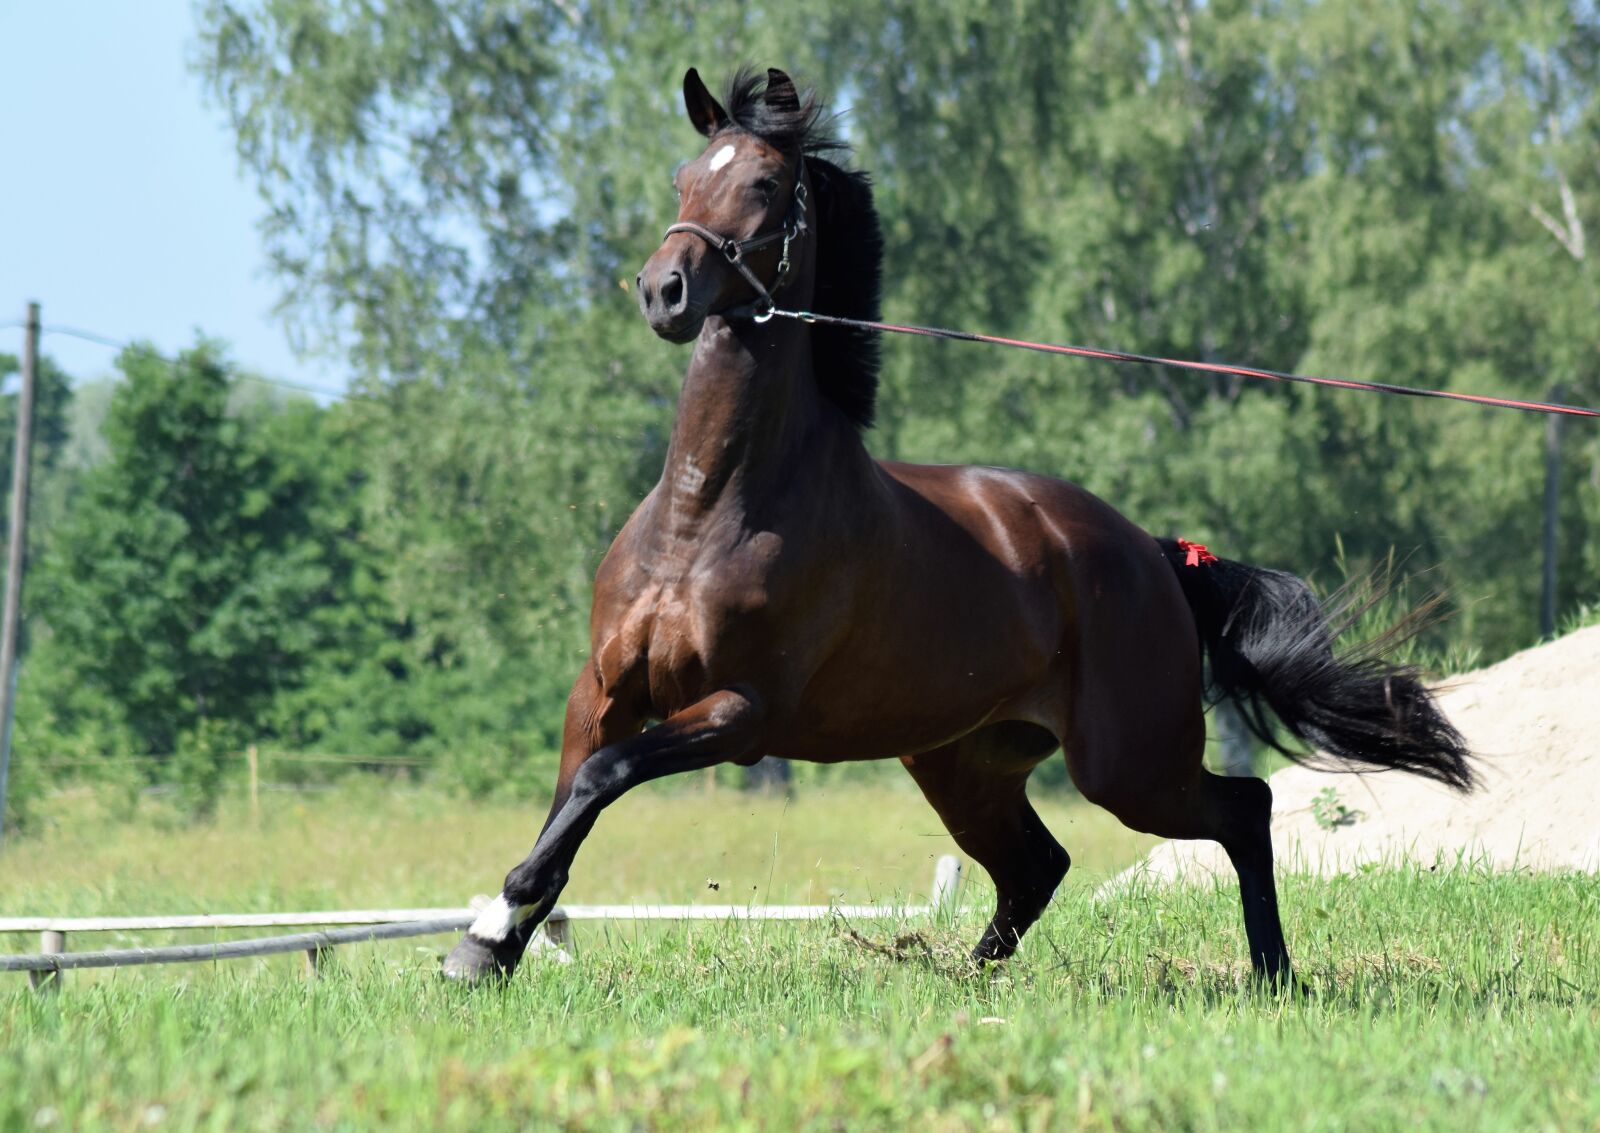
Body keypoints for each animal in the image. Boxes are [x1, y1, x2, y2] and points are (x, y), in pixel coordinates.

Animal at [442, 66, 1471, 987]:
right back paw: (961, 976)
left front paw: (486, 933)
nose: (663, 290)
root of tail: (1152, 553)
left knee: (1242, 809)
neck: (710, 511)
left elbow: (602, 779)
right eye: (684, 177)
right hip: (963, 761)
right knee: (1038, 865)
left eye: (765, 184)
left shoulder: (741, 713)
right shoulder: (602, 688)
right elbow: (573, 797)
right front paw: (490, 945)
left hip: (1128, 765)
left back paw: (1272, 974)